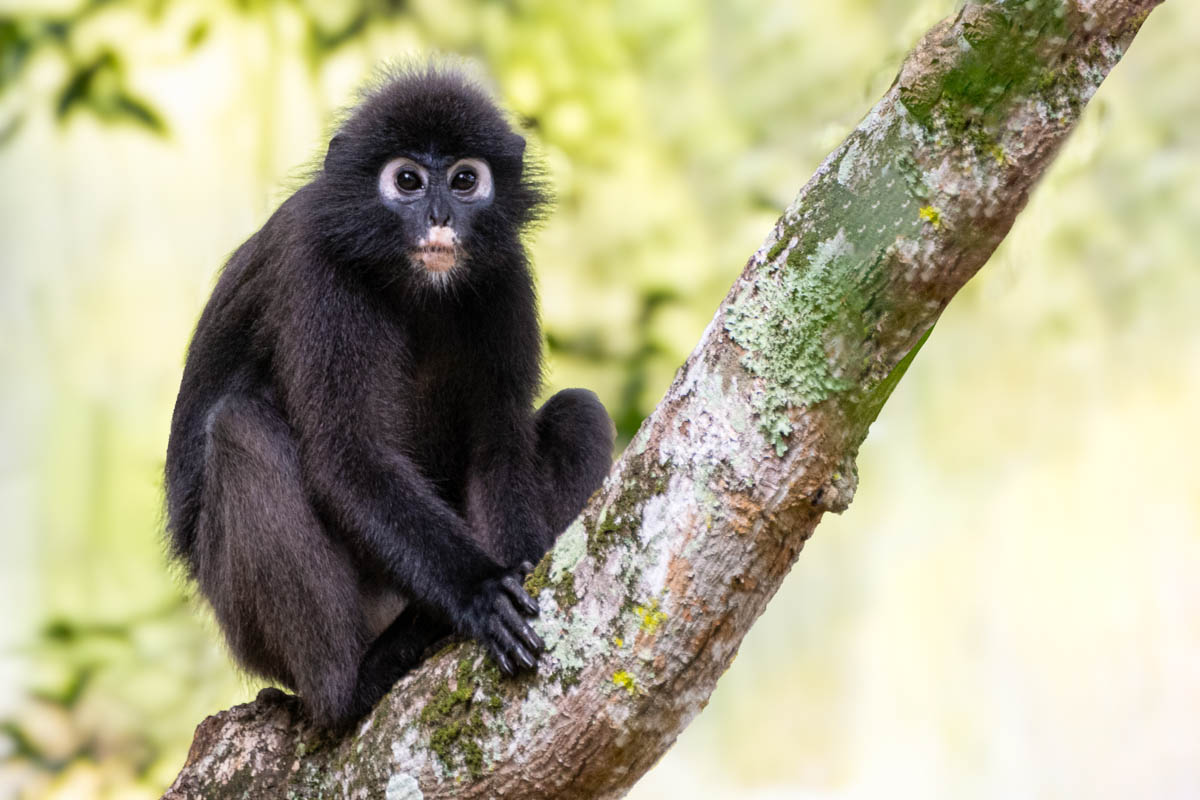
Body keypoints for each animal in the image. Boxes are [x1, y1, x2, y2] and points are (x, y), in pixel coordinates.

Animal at [164, 65, 614, 729]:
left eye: (464, 180)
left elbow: (498, 445)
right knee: (241, 425)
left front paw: (517, 569)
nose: (440, 216)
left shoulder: (505, 274)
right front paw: (480, 591)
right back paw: (352, 685)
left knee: (582, 411)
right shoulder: (316, 265)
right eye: (407, 181)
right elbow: (347, 456)